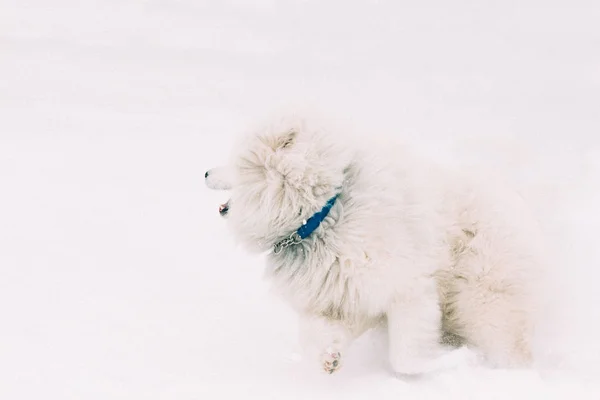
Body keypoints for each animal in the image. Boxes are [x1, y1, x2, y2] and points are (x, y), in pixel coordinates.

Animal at [205, 114, 548, 376]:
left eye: (235, 160)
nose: (205, 171)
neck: (325, 214)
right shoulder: (340, 297)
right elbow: (314, 333)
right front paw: (329, 358)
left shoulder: (407, 290)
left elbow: (404, 357)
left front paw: (437, 365)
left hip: (483, 302)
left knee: (510, 346)